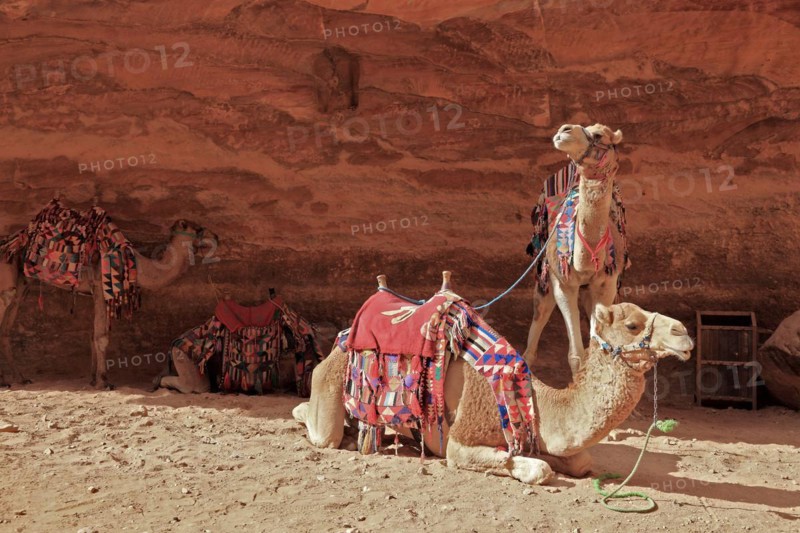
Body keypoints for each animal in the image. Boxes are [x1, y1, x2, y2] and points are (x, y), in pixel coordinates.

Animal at [0, 218, 216, 389]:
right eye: (196, 228)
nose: (215, 236)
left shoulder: (96, 293)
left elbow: (93, 335)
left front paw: (93, 379)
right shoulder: (99, 287)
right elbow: (101, 336)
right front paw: (104, 381)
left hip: (23, 283)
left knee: (7, 326)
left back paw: (21, 378)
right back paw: (4, 382)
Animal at [293, 274, 693, 484]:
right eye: (633, 325)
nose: (684, 333)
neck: (536, 404)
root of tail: (345, 333)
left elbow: (579, 461)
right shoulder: (460, 439)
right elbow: (535, 468)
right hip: (331, 378)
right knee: (323, 430)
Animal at [524, 123, 627, 378]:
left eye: (599, 135)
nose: (564, 130)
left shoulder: (607, 283)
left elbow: (598, 347)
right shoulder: (563, 283)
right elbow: (576, 356)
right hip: (544, 273)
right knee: (540, 314)